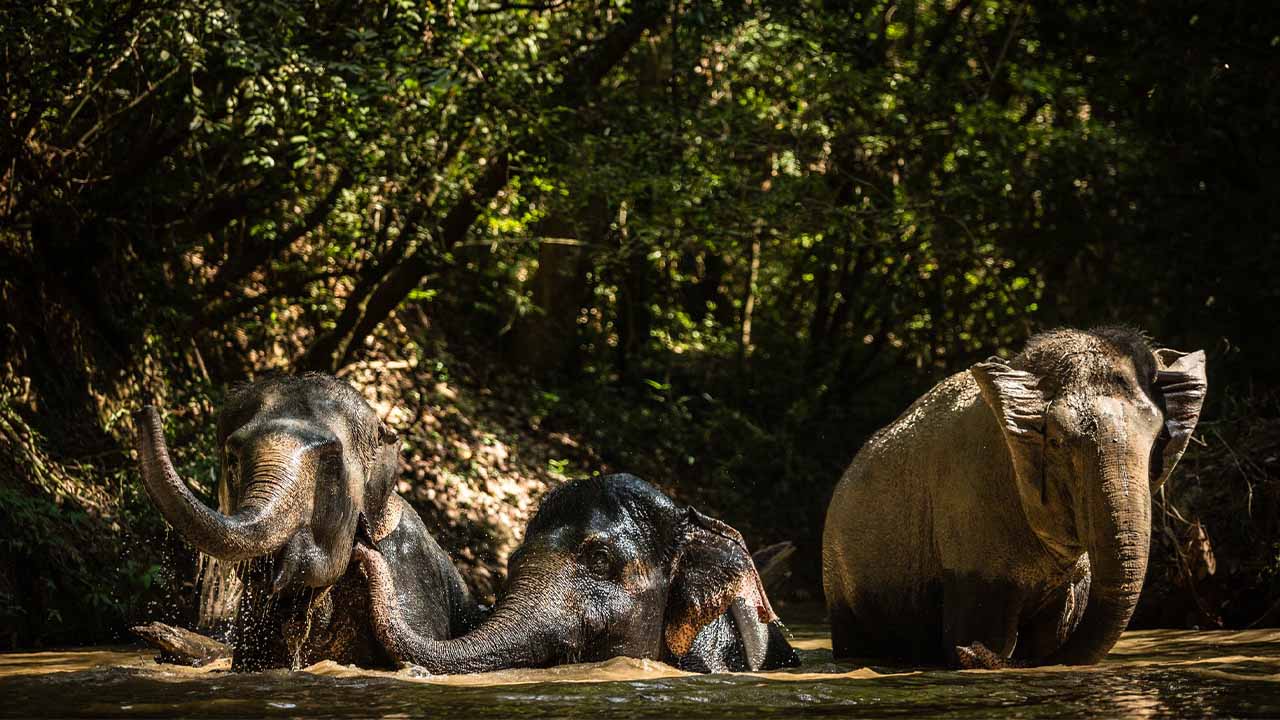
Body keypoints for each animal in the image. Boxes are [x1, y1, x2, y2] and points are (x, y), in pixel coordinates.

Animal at [822, 326, 1207, 667]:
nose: (969, 652)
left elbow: (1054, 635)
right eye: (1057, 442)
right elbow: (988, 631)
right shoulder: (969, 510)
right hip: (840, 578)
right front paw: (976, 650)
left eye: (1157, 440)